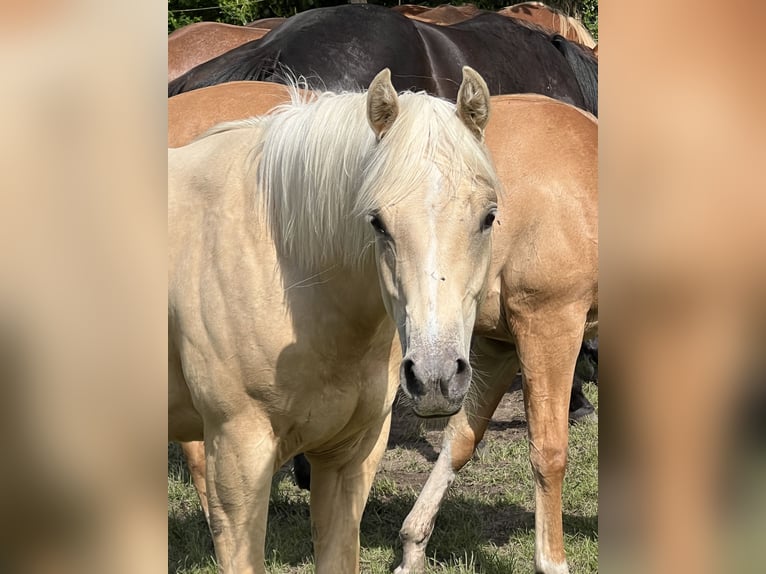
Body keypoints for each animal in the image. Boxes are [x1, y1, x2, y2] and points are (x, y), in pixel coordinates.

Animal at [168, 81, 598, 574]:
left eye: (491, 216)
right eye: (376, 221)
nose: (432, 374)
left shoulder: (493, 345)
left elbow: (461, 440)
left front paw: (412, 547)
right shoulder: (548, 321)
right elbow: (549, 450)